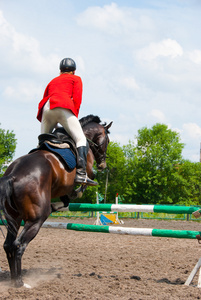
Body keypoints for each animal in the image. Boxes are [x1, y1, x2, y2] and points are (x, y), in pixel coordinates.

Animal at [0, 113, 112, 288]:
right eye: (107, 140)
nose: (102, 164)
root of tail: (11, 176)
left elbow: (67, 197)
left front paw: (65, 200)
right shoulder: (87, 170)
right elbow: (86, 180)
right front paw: (76, 193)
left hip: (14, 218)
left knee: (8, 245)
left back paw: (13, 280)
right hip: (36, 219)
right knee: (19, 245)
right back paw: (20, 282)